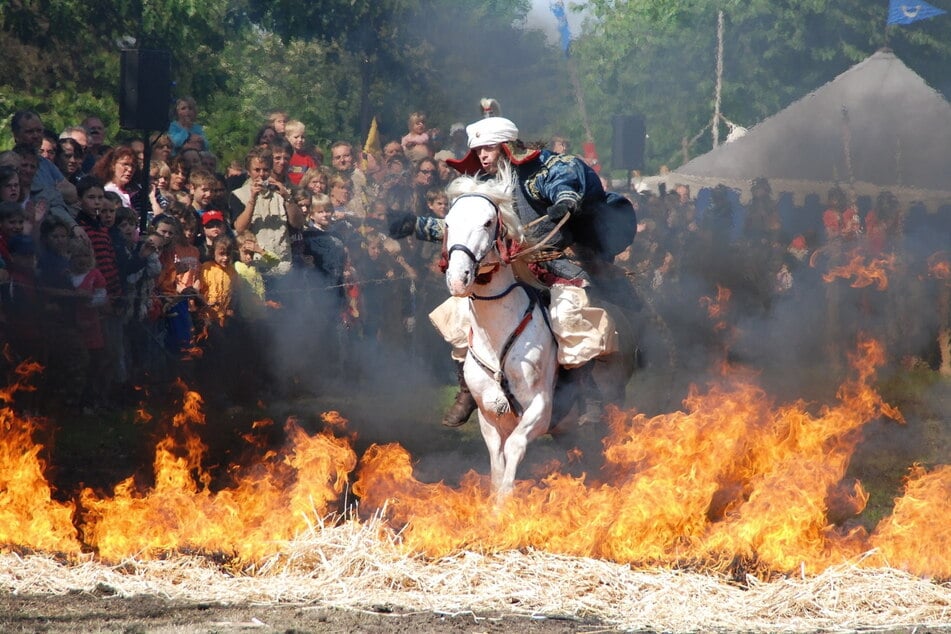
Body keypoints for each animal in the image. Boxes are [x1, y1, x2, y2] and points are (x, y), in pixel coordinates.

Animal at [444, 175, 560, 496]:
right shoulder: (489, 416)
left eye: (487, 222)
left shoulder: (540, 408)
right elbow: (497, 462)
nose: (458, 278)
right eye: (447, 223)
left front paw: (505, 503)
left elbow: (515, 447)